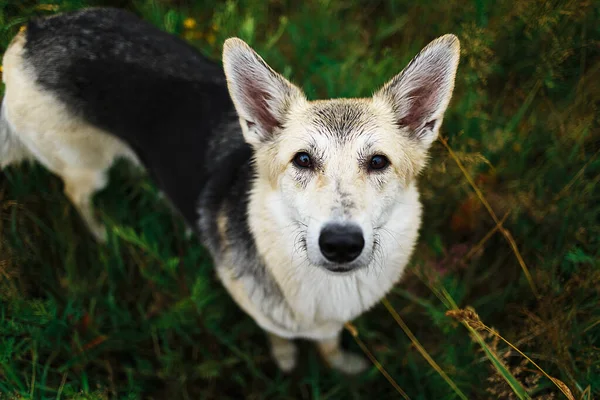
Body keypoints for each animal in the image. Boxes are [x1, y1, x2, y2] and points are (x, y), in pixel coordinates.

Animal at [1, 7, 460, 376]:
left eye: (378, 162)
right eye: (303, 160)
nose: (341, 244)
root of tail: (33, 29)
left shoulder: (330, 322)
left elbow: (329, 344)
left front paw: (342, 366)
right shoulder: (265, 315)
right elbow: (280, 338)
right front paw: (286, 363)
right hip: (86, 169)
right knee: (75, 195)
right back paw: (101, 234)